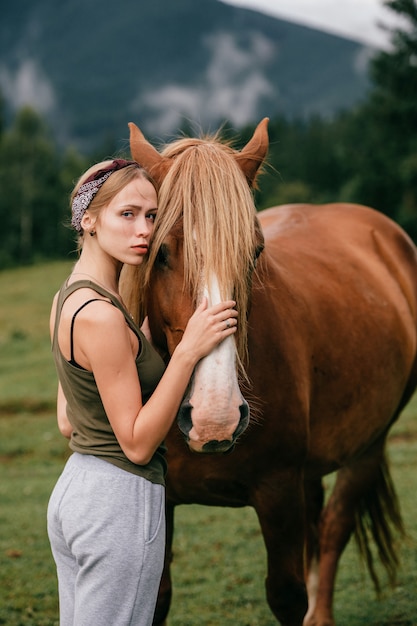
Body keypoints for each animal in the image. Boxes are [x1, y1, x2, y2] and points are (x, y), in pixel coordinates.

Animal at [121, 118, 417, 624]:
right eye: (160, 252)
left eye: (255, 253)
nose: (215, 418)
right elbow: (155, 598)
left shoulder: (278, 492)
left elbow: (287, 595)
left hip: (368, 446)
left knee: (333, 528)